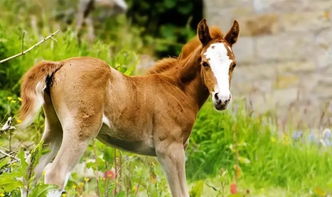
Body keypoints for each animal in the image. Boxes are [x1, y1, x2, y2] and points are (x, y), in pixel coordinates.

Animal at [18, 18, 239, 197]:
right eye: (205, 63)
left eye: (233, 65)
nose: (222, 99)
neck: (177, 89)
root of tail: (60, 64)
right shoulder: (170, 149)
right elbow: (180, 192)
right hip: (80, 131)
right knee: (55, 174)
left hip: (55, 127)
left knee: (32, 171)